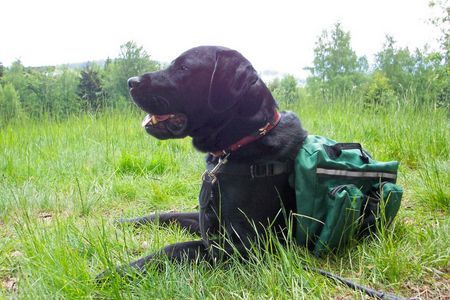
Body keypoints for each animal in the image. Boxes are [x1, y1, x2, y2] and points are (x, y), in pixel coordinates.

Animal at [99, 45, 310, 278]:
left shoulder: (253, 244)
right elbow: (165, 215)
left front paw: (118, 272)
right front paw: (125, 222)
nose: (131, 81)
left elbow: (177, 248)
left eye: (183, 68)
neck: (244, 141)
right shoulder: (209, 217)